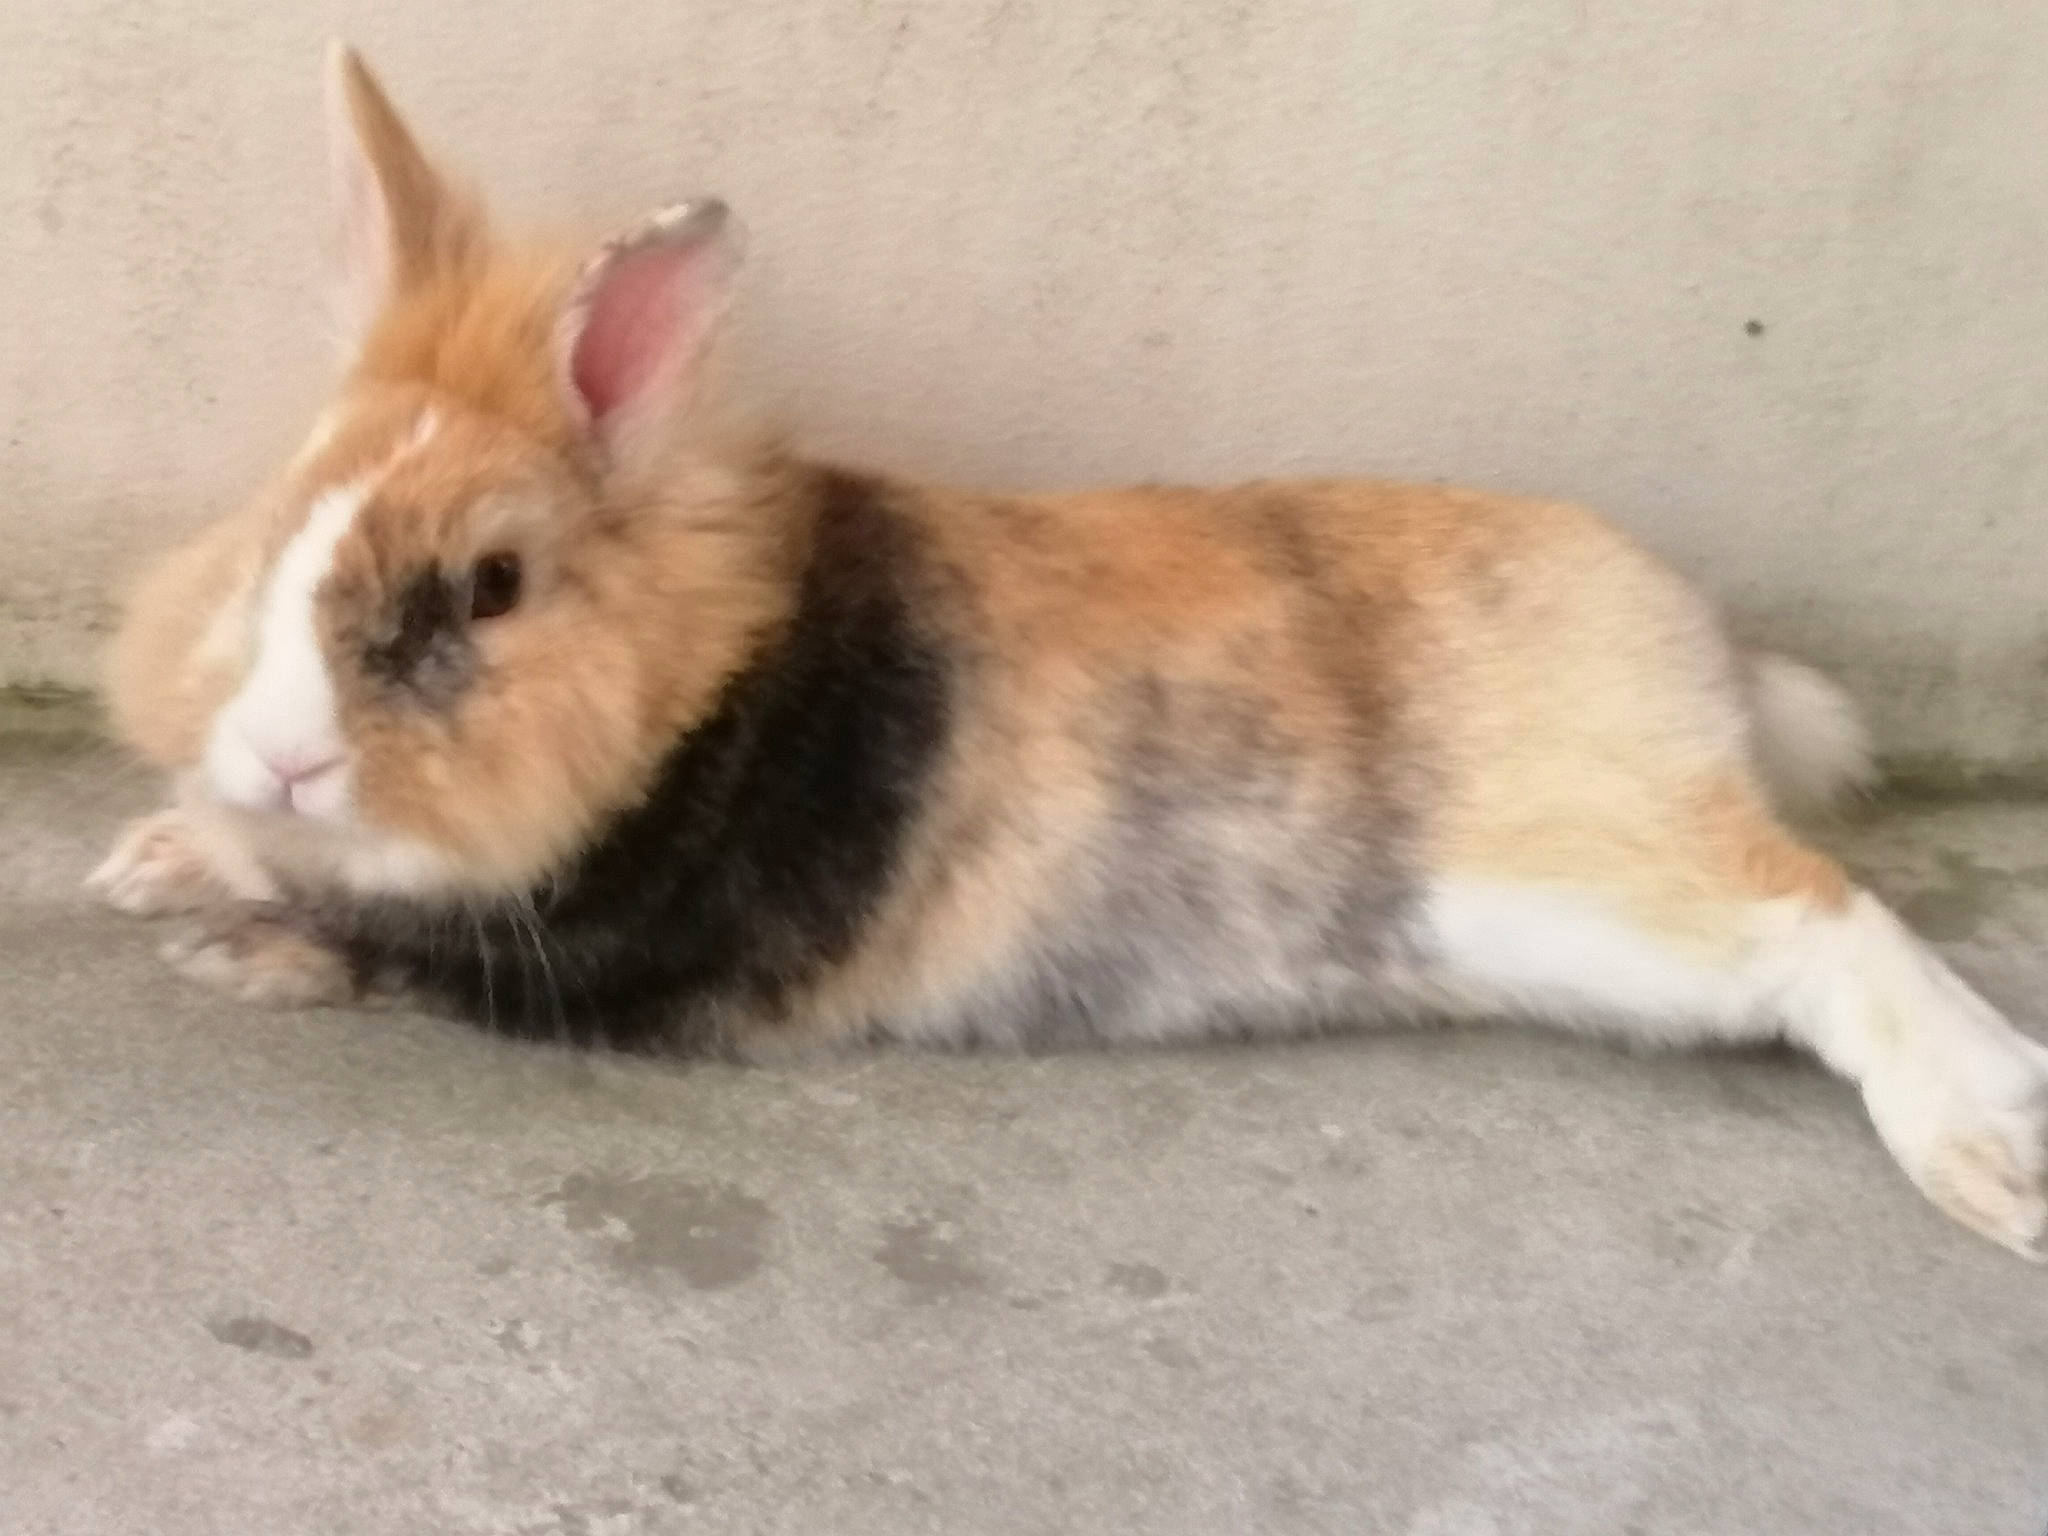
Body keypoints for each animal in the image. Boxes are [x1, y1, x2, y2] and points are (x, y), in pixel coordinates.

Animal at [89, 46, 2048, 1261]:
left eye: (491, 588)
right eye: (283, 518)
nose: (278, 753)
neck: (703, 682)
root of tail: (1698, 651)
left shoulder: (583, 948)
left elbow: (375, 929)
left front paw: (216, 940)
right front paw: (152, 856)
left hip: (1585, 872)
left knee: (1826, 921)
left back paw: (1992, 1167)